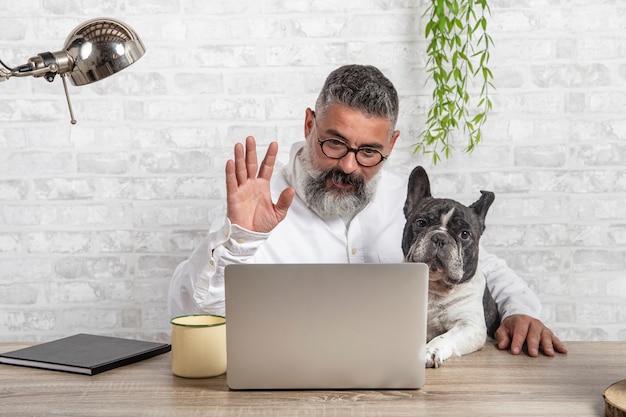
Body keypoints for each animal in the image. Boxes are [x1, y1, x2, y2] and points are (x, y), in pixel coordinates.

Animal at [402, 166, 500, 368]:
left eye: (465, 234)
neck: (433, 287)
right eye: (421, 223)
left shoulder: (470, 325)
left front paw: (430, 351)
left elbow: (445, 337)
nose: (440, 237)